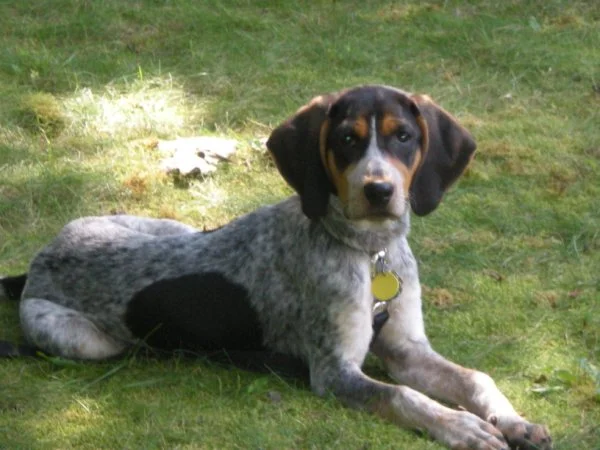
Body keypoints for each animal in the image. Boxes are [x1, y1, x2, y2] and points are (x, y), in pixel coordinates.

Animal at [1, 85, 552, 450]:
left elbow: (475, 378)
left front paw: (513, 420)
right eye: (347, 140)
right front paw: (461, 427)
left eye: (404, 137)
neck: (369, 251)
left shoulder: (407, 349)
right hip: (85, 342)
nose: (378, 191)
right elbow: (403, 397)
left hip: (172, 227)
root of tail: (38, 262)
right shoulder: (334, 372)